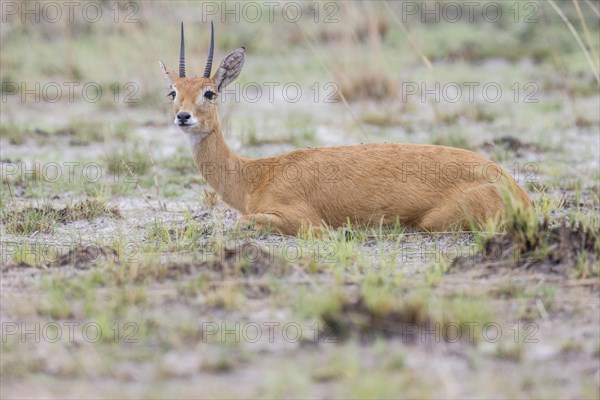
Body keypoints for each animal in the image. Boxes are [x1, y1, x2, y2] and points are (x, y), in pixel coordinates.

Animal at [158, 23, 528, 236]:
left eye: (209, 92)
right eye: (173, 92)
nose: (184, 117)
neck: (255, 176)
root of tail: (514, 188)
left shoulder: (301, 219)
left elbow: (244, 222)